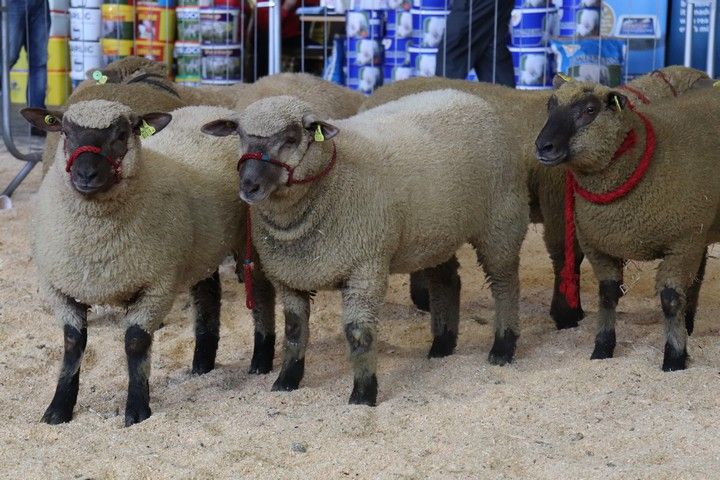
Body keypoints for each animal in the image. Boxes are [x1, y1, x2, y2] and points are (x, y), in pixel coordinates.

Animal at [22, 99, 245, 426]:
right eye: (65, 132)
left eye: (122, 134)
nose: (86, 174)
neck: (96, 241)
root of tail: (211, 107)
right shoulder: (59, 289)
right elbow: (73, 345)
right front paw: (58, 409)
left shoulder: (156, 287)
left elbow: (135, 343)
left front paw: (138, 409)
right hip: (204, 248)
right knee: (208, 298)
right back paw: (202, 364)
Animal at [201, 91, 529, 406]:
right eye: (240, 135)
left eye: (291, 139)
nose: (248, 186)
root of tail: (470, 96)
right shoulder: (290, 275)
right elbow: (294, 332)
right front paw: (286, 381)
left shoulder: (365, 266)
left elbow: (358, 333)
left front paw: (363, 394)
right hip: (436, 233)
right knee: (446, 282)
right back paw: (442, 346)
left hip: (501, 219)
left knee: (505, 282)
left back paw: (503, 347)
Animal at [534, 80, 720, 371]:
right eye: (550, 106)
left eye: (590, 110)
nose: (543, 147)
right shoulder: (598, 246)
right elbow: (607, 295)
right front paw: (602, 348)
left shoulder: (682, 242)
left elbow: (670, 299)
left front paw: (674, 358)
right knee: (696, 280)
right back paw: (689, 326)